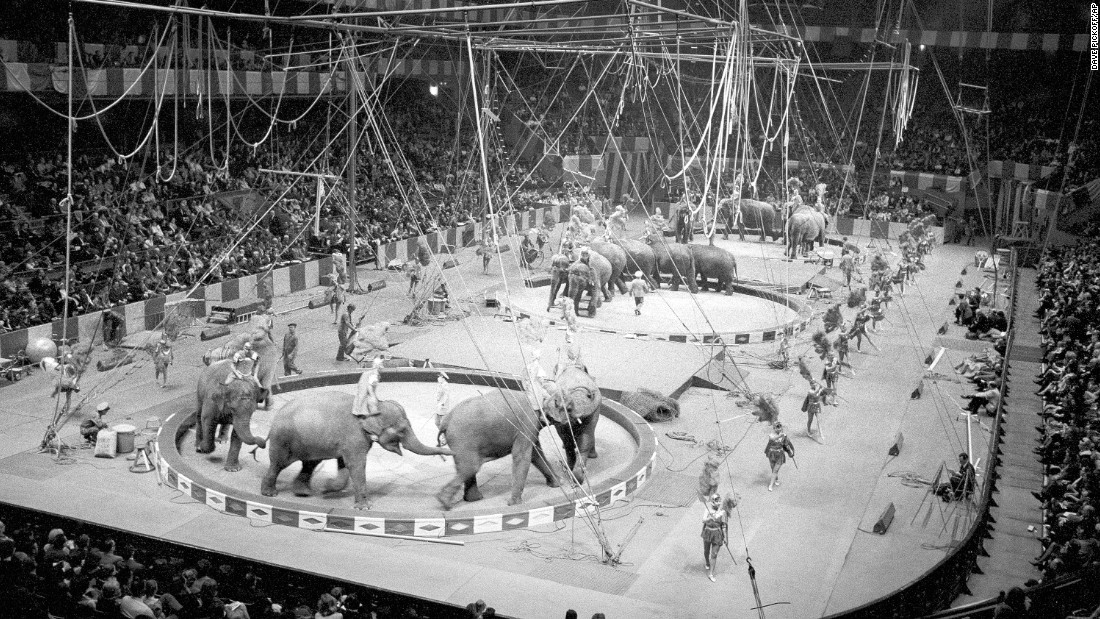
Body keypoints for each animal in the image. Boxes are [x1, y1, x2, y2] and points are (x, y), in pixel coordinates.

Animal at [433, 360, 602, 510]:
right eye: (570, 408)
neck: (537, 395)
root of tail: (445, 422)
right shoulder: (527, 423)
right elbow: (522, 455)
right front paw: (514, 504)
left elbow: (536, 454)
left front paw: (558, 484)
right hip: (462, 439)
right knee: (471, 466)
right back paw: (445, 502)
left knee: (467, 467)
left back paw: (470, 499)